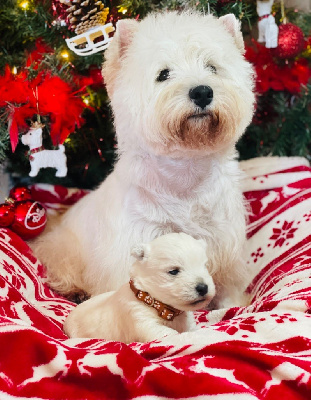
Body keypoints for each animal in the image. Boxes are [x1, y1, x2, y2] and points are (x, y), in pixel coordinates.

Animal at [31, 10, 256, 308]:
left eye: (212, 67)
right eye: (163, 74)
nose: (202, 92)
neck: (184, 173)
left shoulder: (225, 245)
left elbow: (229, 290)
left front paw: (234, 307)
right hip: (62, 250)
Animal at [64, 233, 216, 342]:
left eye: (204, 266)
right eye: (173, 271)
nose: (203, 288)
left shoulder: (187, 322)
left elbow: (192, 329)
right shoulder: (141, 319)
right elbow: (169, 333)